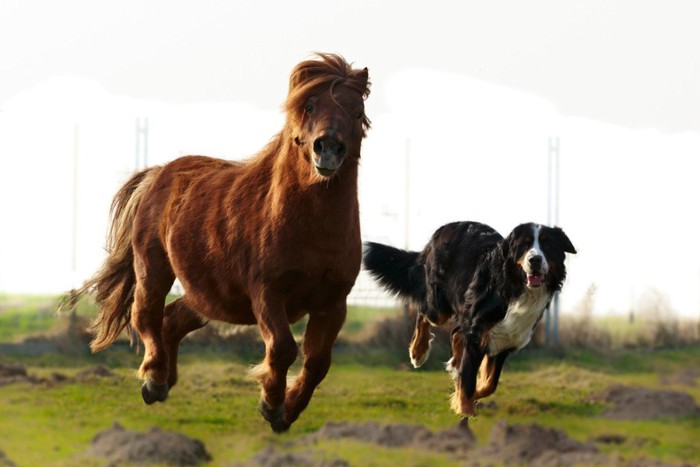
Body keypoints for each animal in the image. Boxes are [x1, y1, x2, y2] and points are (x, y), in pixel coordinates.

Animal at [76, 54, 372, 432]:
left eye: (357, 110)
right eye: (309, 105)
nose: (329, 148)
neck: (308, 229)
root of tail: (158, 174)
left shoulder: (333, 303)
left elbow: (318, 362)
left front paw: (287, 411)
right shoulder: (267, 292)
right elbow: (283, 349)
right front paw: (271, 405)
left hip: (209, 295)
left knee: (172, 318)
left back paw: (166, 380)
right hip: (154, 269)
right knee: (146, 314)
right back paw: (154, 380)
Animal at [360, 221, 576, 418]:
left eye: (548, 245)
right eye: (524, 244)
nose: (535, 260)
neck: (514, 290)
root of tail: (445, 227)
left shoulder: (505, 341)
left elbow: (488, 384)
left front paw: (464, 395)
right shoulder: (477, 334)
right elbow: (469, 381)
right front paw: (465, 410)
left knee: (456, 333)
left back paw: (454, 364)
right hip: (439, 308)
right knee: (423, 313)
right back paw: (418, 351)